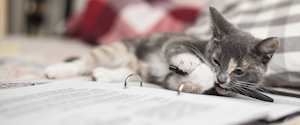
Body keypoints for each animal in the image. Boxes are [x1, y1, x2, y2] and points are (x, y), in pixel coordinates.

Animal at [44, 6, 278, 94]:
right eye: (216, 61)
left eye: (239, 71)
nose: (220, 79)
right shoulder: (179, 41)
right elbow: (176, 48)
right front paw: (192, 63)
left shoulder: (171, 81)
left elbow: (183, 83)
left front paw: (204, 77)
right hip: (119, 48)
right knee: (85, 61)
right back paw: (56, 70)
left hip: (138, 69)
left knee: (125, 72)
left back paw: (101, 74)